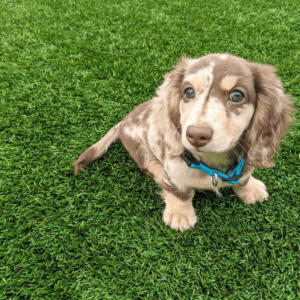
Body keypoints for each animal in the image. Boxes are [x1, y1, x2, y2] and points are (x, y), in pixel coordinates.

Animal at [74, 54, 292, 232]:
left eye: (237, 95)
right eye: (188, 92)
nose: (196, 135)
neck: (211, 163)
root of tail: (123, 121)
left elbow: (243, 177)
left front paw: (250, 189)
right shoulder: (173, 168)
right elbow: (181, 193)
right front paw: (180, 215)